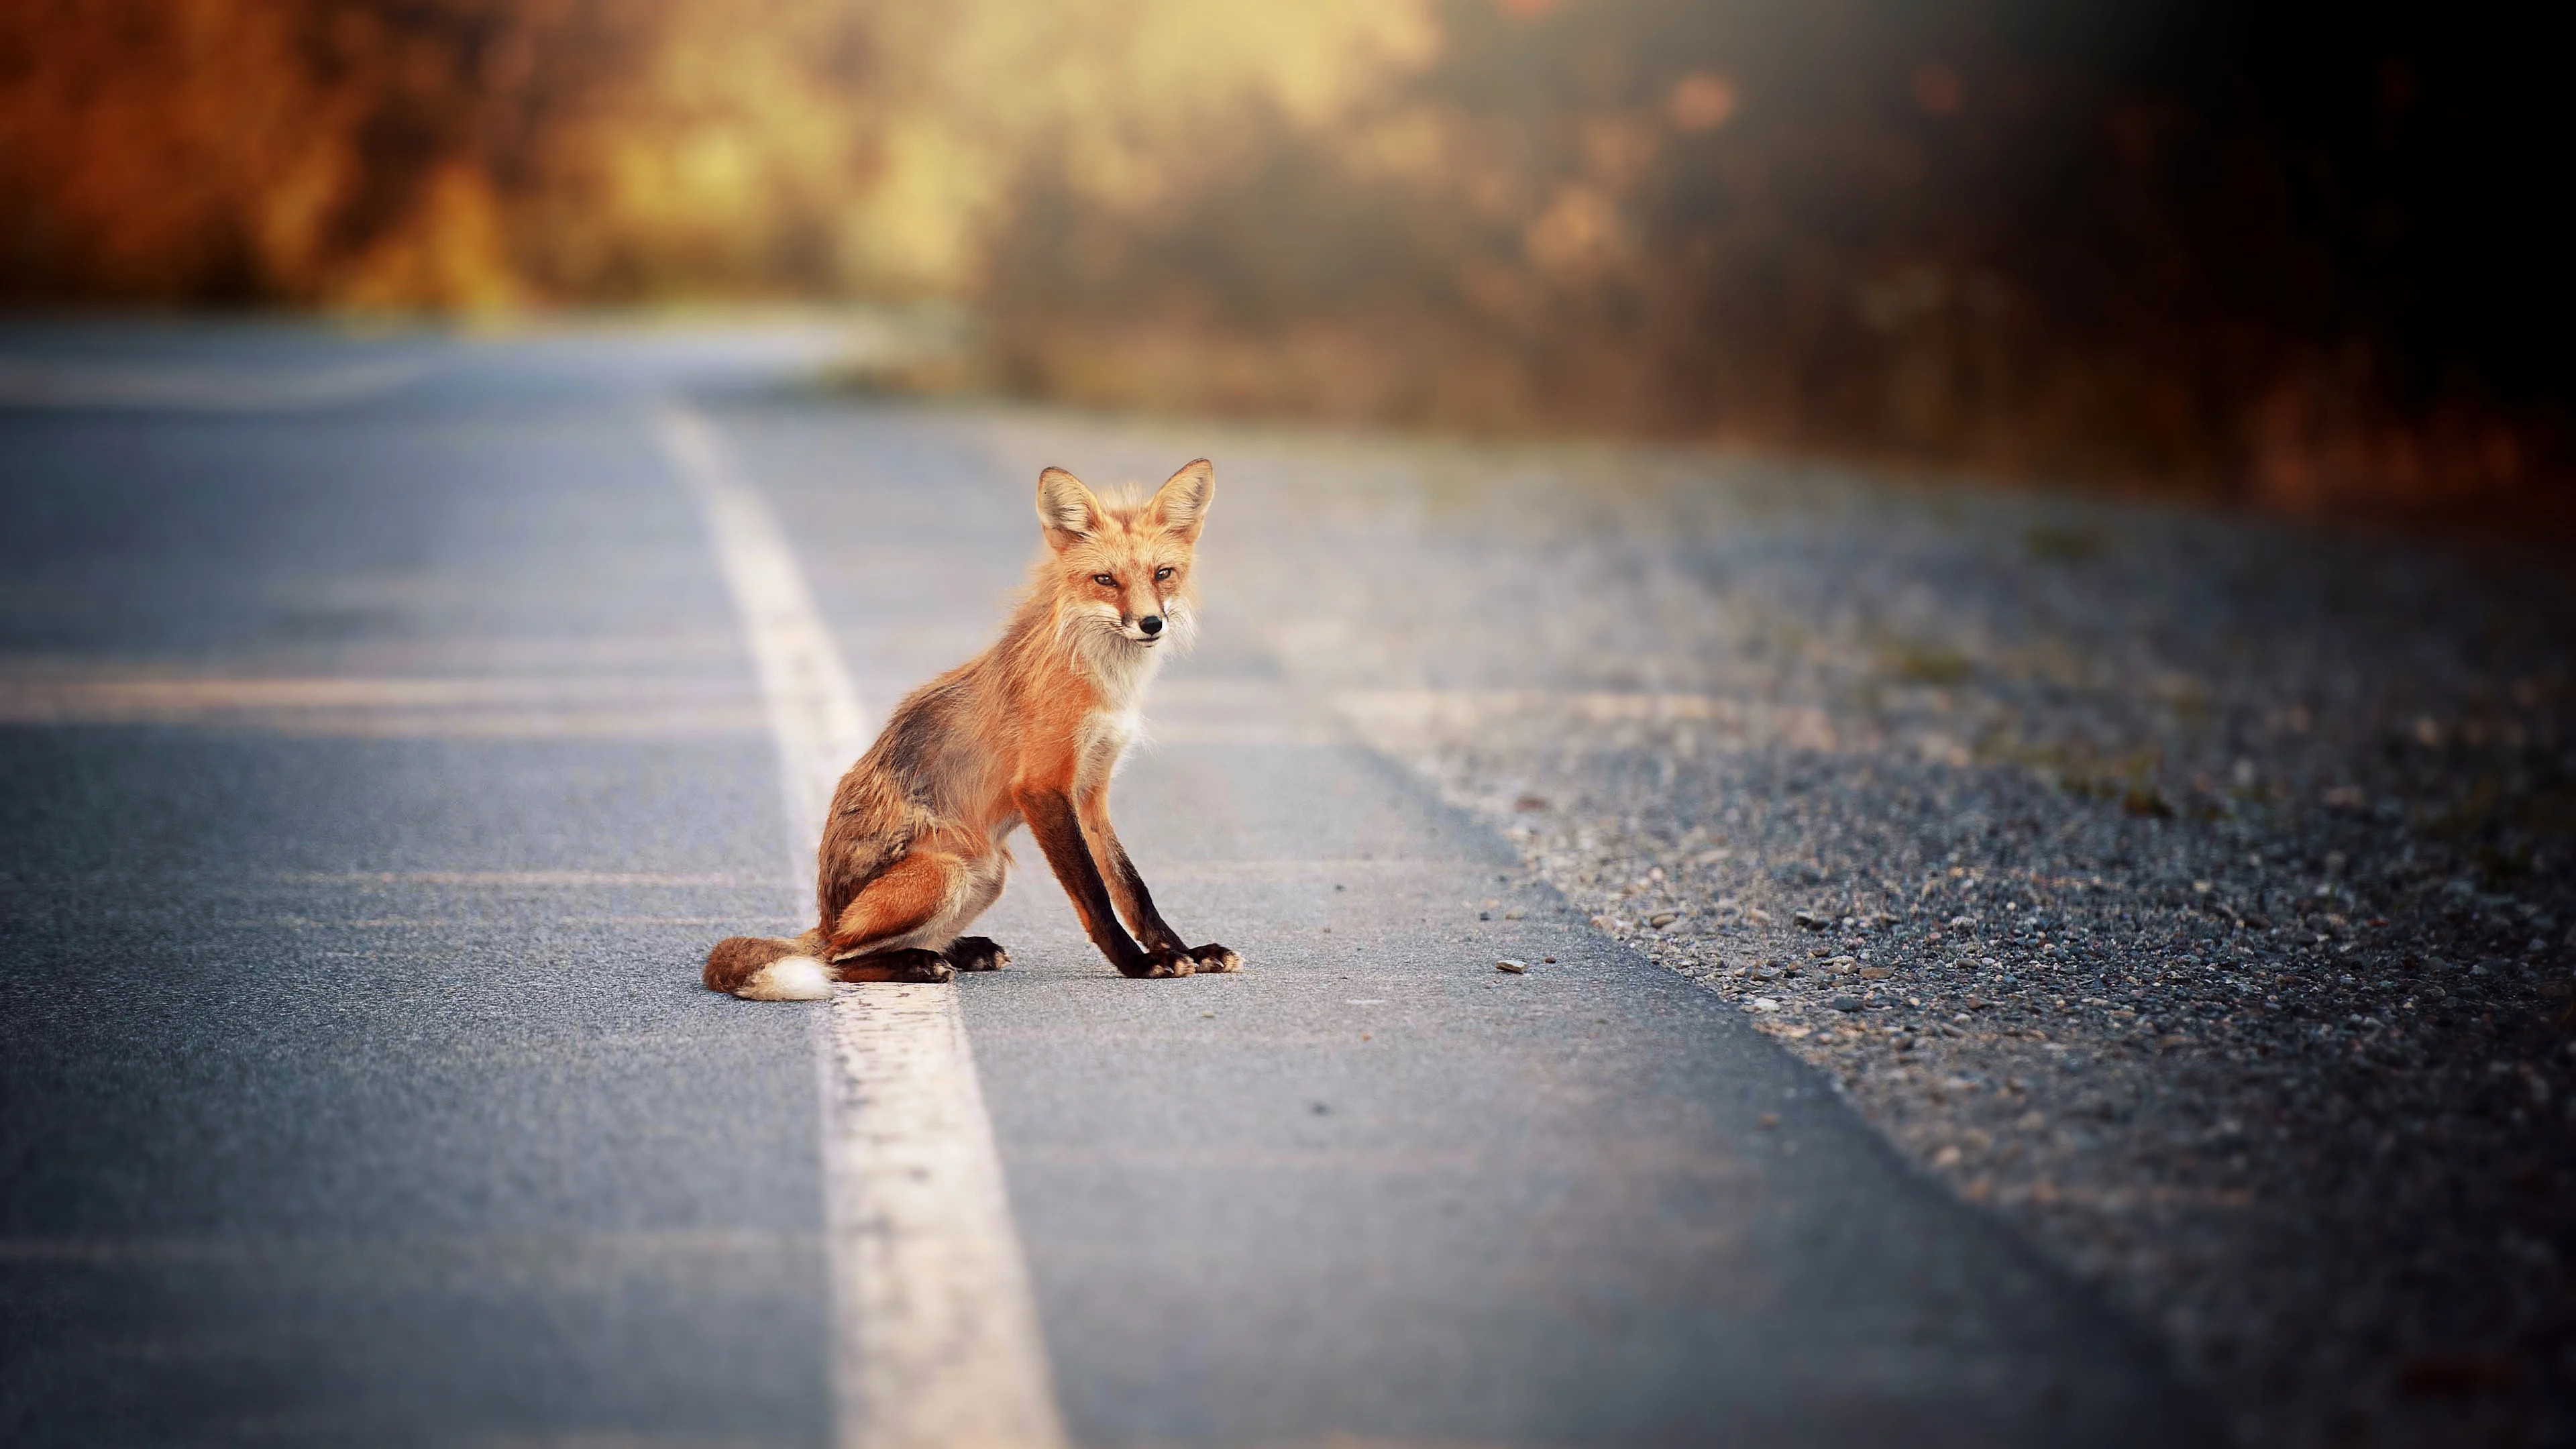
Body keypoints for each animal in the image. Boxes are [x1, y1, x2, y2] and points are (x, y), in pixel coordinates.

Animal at [702, 458, 1243, 1000]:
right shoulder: (1043, 787)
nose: (1151, 623)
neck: (1103, 679)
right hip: (950, 871)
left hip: (987, 873)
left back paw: (958, 951)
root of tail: (825, 915)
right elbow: (1095, 896)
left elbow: (1131, 888)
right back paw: (918, 963)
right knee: (839, 956)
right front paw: (1138, 963)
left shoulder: (1091, 789)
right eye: (1105, 579)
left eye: (1163, 574)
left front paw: (1184, 951)